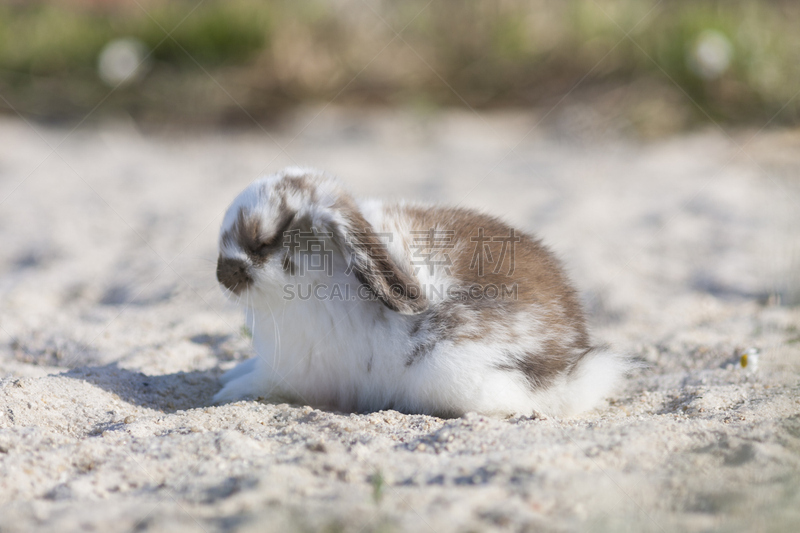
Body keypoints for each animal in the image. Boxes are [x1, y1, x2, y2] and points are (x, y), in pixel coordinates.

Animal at [214, 166, 632, 416]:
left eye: (263, 242)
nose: (222, 275)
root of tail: (569, 365)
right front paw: (226, 378)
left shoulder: (294, 373)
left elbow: (260, 382)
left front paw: (225, 394)